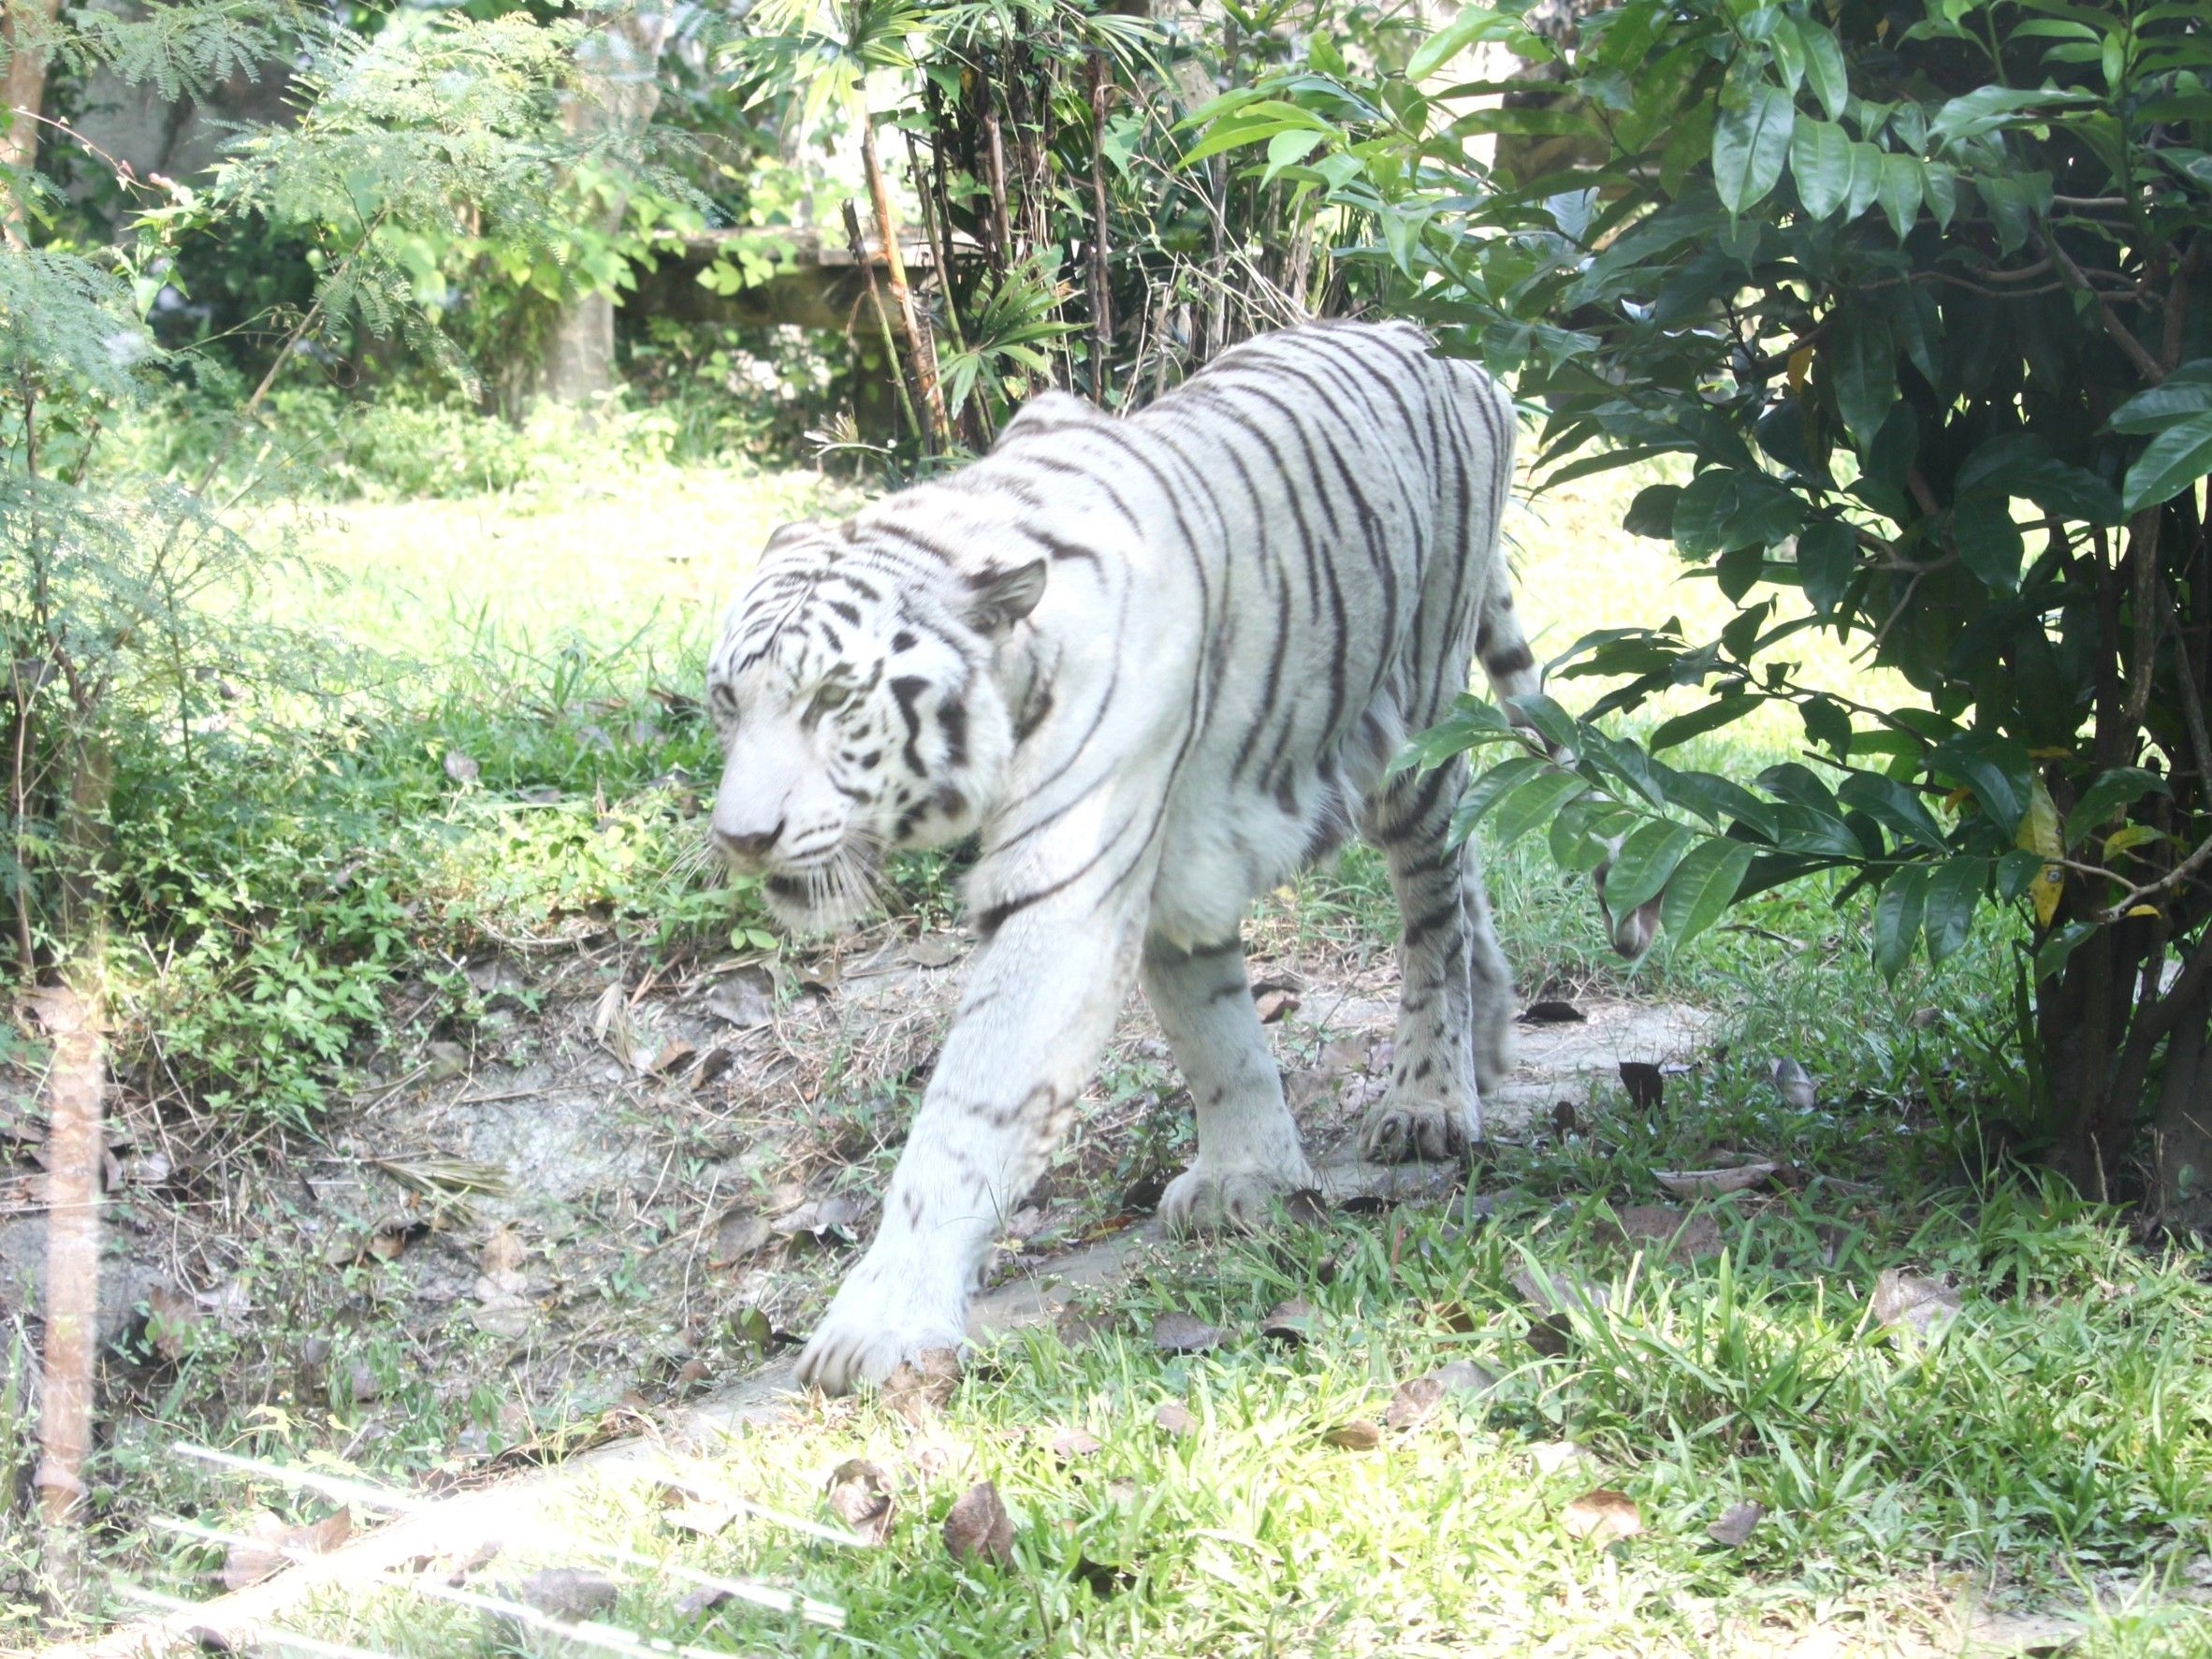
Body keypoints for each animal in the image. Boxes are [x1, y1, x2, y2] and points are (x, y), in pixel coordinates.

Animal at [705, 319, 1536, 1395]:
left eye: (834, 702)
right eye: (729, 700)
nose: (742, 837)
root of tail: (1440, 342)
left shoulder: (1066, 889)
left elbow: (969, 1111)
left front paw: (880, 1323)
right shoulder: (1173, 862)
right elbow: (1215, 1032)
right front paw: (1247, 1176)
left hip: (1415, 720)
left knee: (1434, 908)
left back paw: (1431, 1097)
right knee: (1465, 873)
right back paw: (1490, 1043)